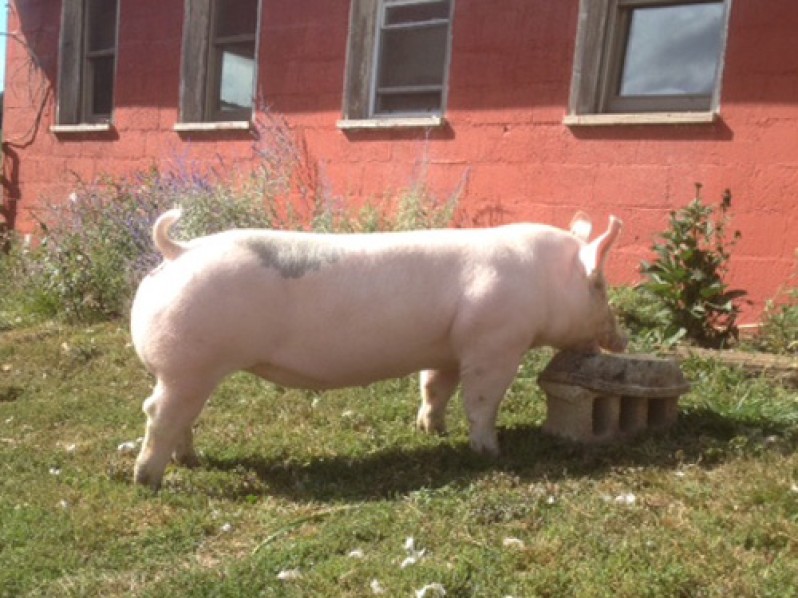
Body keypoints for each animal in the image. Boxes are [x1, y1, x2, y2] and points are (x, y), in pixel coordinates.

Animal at [131, 209, 628, 490]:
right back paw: (149, 481)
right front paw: (491, 453)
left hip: (190, 370)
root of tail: (179, 251)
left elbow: (435, 387)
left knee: (182, 416)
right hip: (187, 364)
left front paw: (431, 431)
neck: (543, 282)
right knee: (157, 412)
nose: (620, 339)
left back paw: (190, 461)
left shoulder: (448, 347)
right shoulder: (493, 343)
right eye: (599, 285)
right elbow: (482, 401)